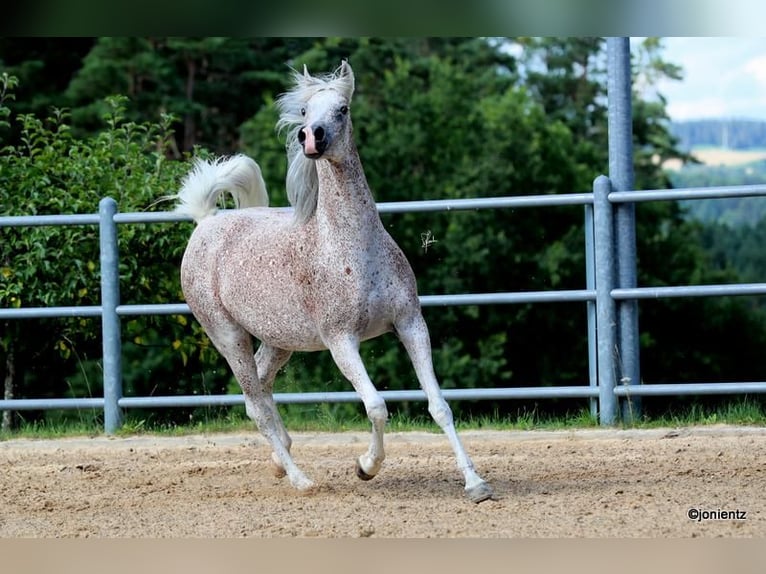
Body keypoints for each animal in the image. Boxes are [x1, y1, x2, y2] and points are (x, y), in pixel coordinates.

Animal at [173, 62, 496, 504]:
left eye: (343, 108)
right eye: (304, 111)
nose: (311, 138)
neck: (353, 248)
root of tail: (206, 223)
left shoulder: (411, 324)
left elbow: (439, 405)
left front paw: (475, 483)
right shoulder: (341, 340)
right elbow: (376, 406)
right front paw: (366, 467)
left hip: (278, 341)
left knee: (262, 389)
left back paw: (281, 459)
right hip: (228, 336)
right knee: (256, 403)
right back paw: (301, 479)